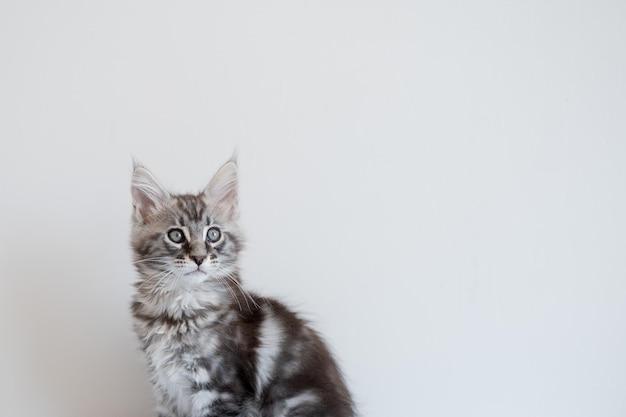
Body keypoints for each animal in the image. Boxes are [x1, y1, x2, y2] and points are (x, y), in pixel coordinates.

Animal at [129, 157, 354, 416]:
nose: (199, 258)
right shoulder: (165, 390)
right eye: (176, 235)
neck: (178, 307)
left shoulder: (219, 390)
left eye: (213, 234)